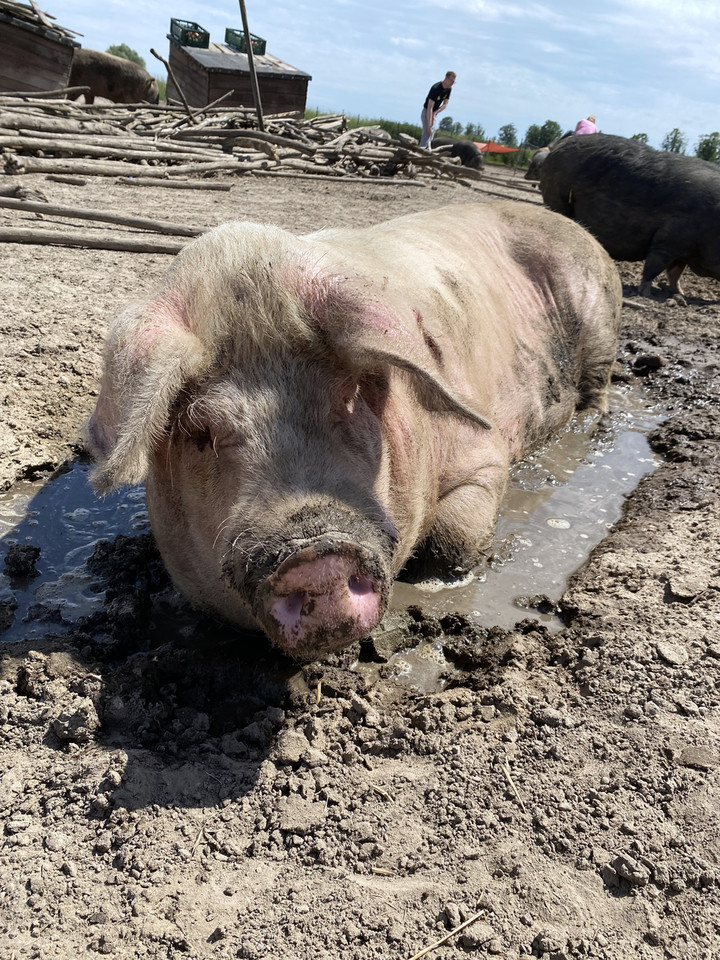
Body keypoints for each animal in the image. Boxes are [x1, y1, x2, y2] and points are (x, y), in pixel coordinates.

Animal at [84, 199, 620, 656]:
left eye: (351, 394)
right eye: (200, 430)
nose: (316, 552)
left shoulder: (485, 451)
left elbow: (453, 537)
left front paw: (432, 584)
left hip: (601, 327)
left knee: (599, 391)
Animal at [536, 132, 720, 296]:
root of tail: (557, 146)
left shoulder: (682, 250)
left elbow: (675, 273)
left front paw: (679, 293)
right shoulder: (668, 239)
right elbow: (653, 266)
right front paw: (646, 294)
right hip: (556, 197)